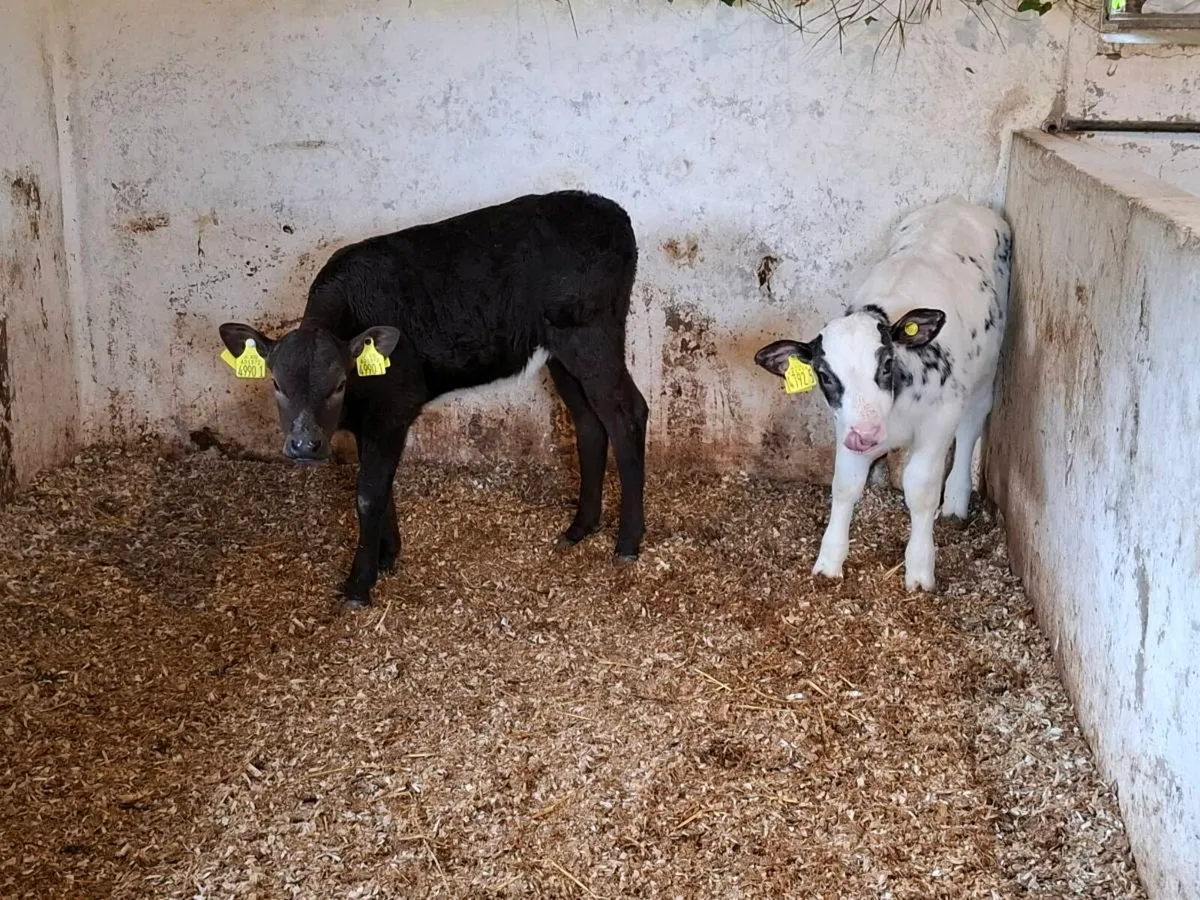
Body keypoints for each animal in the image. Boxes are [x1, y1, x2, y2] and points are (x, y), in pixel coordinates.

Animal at [218, 191, 648, 608]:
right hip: (561, 351)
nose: (304, 444)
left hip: (591, 336)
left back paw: (628, 541)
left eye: (339, 383)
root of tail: (611, 210)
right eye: (276, 383)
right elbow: (382, 488)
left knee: (627, 415)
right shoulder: (371, 420)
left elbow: (369, 494)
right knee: (590, 423)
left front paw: (359, 584)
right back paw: (580, 527)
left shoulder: (393, 410)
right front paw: (387, 555)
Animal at [753, 197, 1011, 592]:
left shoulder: (940, 418)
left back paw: (955, 500)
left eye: (886, 364)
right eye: (824, 375)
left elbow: (920, 488)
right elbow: (845, 485)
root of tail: (960, 204)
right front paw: (829, 560)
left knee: (970, 428)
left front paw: (920, 569)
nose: (868, 435)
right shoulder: (846, 425)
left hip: (985, 373)